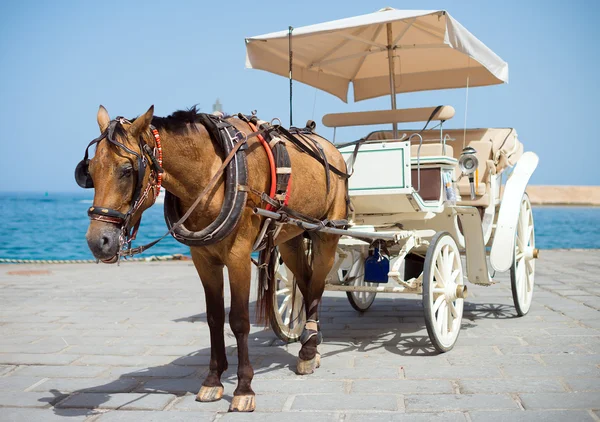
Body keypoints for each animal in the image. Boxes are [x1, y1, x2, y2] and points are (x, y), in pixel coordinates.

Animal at [76, 105, 346, 412]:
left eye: (126, 170)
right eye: (90, 172)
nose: (98, 241)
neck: (212, 175)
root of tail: (329, 147)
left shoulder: (238, 256)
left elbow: (239, 321)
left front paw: (243, 388)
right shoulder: (203, 260)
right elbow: (214, 318)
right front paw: (213, 380)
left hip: (327, 233)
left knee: (318, 285)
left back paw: (309, 350)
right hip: (290, 235)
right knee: (305, 281)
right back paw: (308, 344)